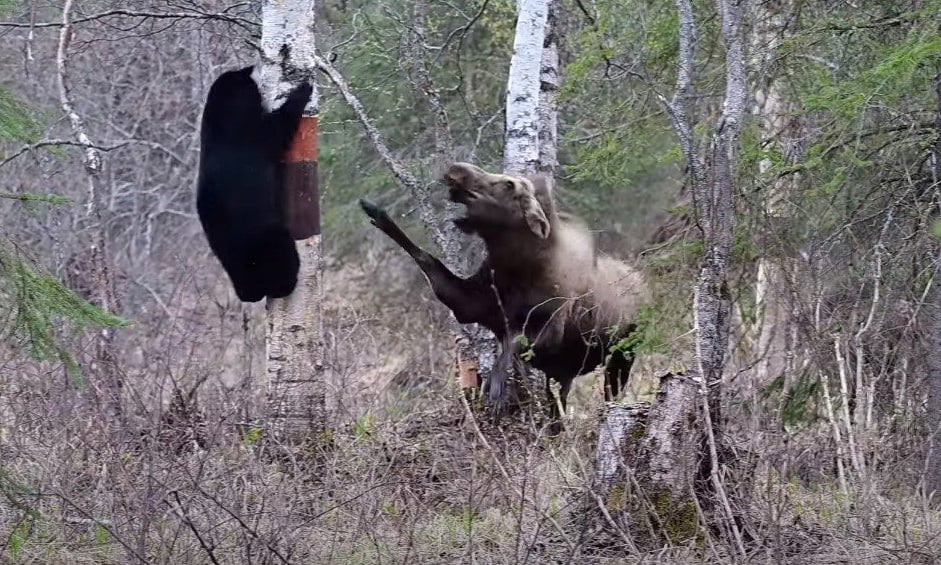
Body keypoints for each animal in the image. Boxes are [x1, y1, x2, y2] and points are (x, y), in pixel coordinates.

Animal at [195, 66, 312, 302]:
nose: (250, 69)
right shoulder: (252, 134)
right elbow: (279, 126)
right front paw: (303, 89)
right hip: (268, 235)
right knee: (283, 254)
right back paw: (287, 282)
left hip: (228, 256)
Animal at [362, 163, 648, 432]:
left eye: (508, 184)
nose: (456, 169)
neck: (514, 270)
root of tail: (646, 284)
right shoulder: (470, 305)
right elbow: (424, 257)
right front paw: (375, 211)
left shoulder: (549, 328)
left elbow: (513, 344)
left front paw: (495, 386)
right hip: (564, 371)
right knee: (558, 406)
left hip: (622, 355)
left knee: (609, 394)